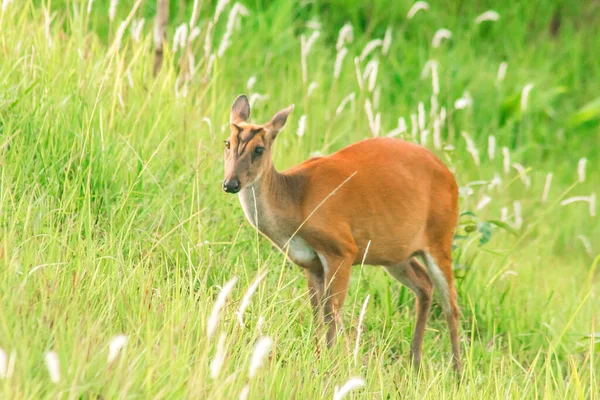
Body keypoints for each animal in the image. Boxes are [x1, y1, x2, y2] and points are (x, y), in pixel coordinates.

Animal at [223, 94, 462, 372]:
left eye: (259, 149)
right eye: (227, 143)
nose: (230, 183)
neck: (295, 201)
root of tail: (452, 179)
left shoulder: (342, 249)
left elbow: (333, 311)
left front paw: (331, 362)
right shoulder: (311, 263)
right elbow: (318, 312)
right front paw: (318, 356)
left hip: (440, 239)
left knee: (451, 305)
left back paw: (457, 372)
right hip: (396, 254)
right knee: (424, 286)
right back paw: (415, 362)